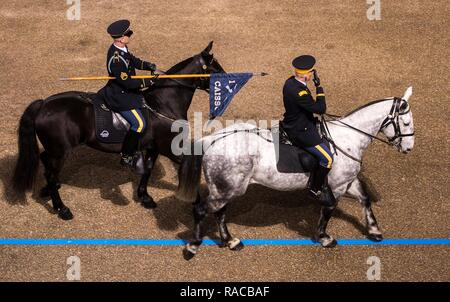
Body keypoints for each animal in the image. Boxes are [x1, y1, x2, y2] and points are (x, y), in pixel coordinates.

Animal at [12, 41, 225, 219]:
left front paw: (145, 197)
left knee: (45, 161)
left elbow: (148, 169)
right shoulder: (170, 148)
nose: (226, 82)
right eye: (214, 68)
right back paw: (62, 209)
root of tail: (44, 105)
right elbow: (190, 169)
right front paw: (203, 205)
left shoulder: (153, 147)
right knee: (50, 171)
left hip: (56, 150)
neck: (163, 103)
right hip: (61, 152)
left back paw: (50, 189)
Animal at [177, 86, 414, 258]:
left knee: (219, 211)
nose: (409, 148)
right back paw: (192, 247)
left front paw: (374, 231)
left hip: (224, 189)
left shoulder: (348, 181)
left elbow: (365, 200)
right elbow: (328, 211)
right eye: (406, 122)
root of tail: (211, 140)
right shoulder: (337, 187)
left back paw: (230, 241)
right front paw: (324, 237)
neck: (348, 139)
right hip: (227, 189)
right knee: (201, 210)